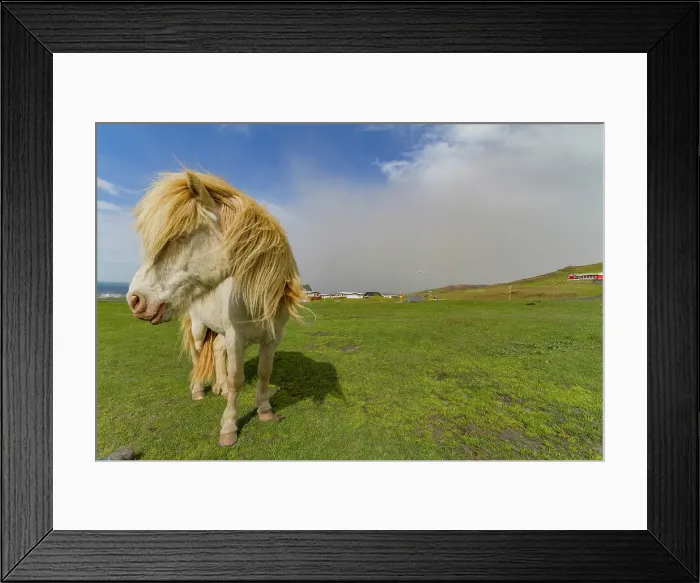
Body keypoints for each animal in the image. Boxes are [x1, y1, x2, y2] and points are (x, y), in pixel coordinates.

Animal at [127, 169, 307, 446]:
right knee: (199, 354)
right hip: (200, 329)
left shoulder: (271, 339)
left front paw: (265, 411)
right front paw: (229, 427)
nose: (135, 299)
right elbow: (236, 380)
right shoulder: (236, 337)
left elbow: (264, 373)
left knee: (218, 352)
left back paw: (218, 387)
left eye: (180, 236)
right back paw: (199, 390)